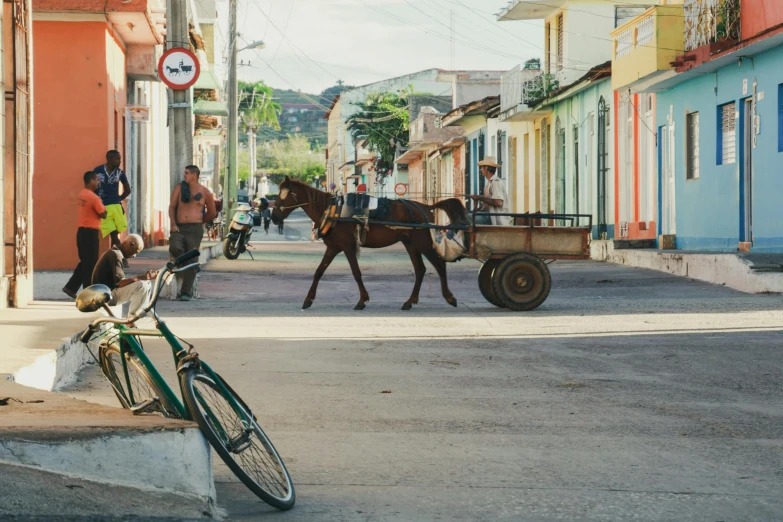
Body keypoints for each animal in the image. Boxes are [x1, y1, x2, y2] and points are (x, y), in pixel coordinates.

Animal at [272, 177, 466, 310]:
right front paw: (308, 299)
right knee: (420, 269)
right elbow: (319, 272)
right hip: (410, 244)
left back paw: (449, 297)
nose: (273, 217)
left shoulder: (347, 247)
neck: (332, 210)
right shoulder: (333, 247)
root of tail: (427, 207)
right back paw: (409, 301)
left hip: (422, 242)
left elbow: (356, 273)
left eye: (282, 196)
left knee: (439, 265)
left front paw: (362, 300)